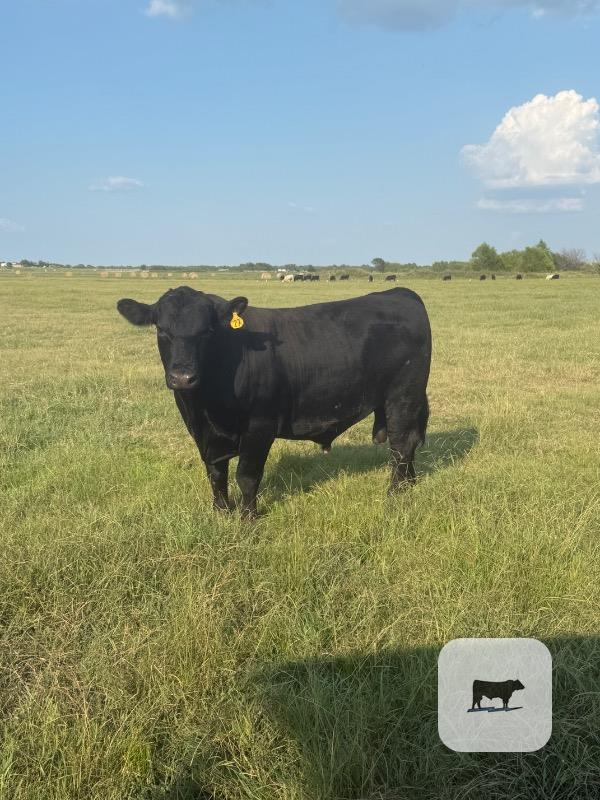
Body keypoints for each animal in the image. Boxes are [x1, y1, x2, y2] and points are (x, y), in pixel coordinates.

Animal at [117, 286, 431, 518]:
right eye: (161, 330)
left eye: (207, 331)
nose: (183, 377)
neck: (204, 408)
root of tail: (400, 293)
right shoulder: (202, 434)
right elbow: (215, 474)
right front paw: (220, 513)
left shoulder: (259, 426)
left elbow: (246, 476)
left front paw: (247, 519)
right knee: (409, 443)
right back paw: (411, 484)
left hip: (403, 394)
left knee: (401, 445)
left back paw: (395, 494)